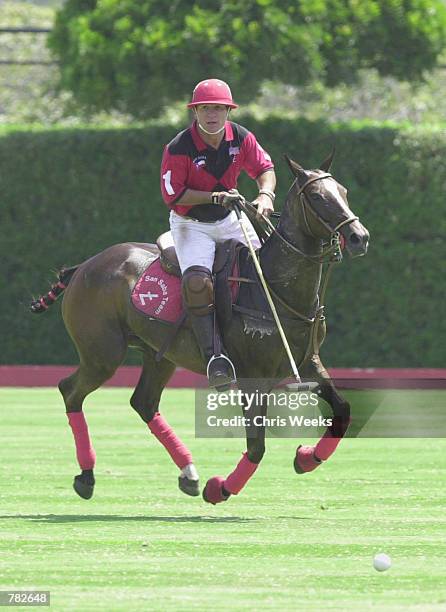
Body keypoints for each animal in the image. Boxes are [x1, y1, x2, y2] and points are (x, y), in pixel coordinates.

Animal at [29, 155, 368, 504]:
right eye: (317, 197)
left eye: (343, 191)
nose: (360, 237)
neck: (275, 288)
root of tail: (83, 266)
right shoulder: (253, 376)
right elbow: (256, 447)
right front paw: (220, 488)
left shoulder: (307, 360)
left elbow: (343, 410)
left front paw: (306, 457)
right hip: (102, 354)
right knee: (70, 390)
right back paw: (86, 475)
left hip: (159, 354)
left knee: (143, 402)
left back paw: (188, 473)